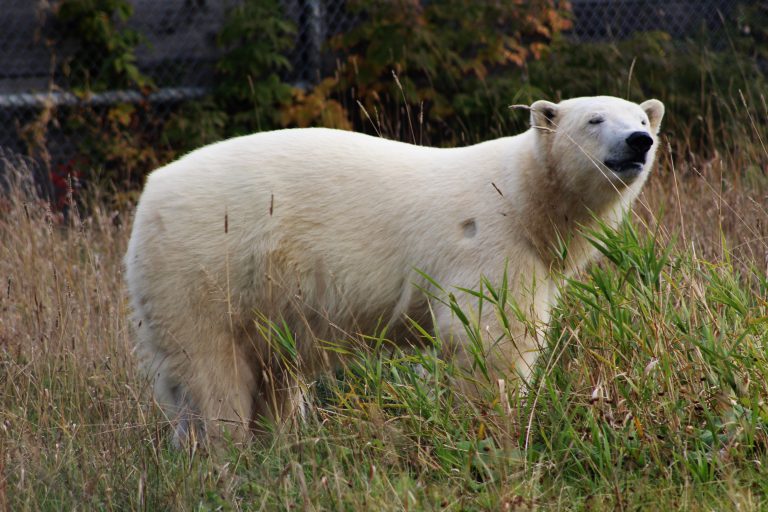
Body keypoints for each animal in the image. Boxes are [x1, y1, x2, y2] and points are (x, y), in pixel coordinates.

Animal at [123, 95, 664, 444]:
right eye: (595, 119)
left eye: (641, 116)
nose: (639, 141)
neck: (523, 197)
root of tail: (150, 194)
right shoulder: (488, 243)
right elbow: (489, 340)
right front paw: (496, 424)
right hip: (205, 272)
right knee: (211, 379)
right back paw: (225, 454)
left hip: (260, 295)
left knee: (273, 376)